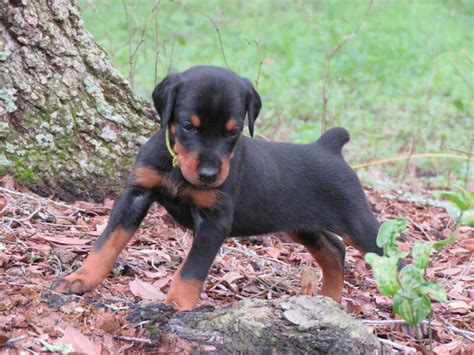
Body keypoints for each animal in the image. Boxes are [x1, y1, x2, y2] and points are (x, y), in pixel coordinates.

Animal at [51, 65, 384, 310]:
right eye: (189, 126)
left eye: (233, 131)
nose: (209, 175)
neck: (177, 169)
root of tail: (329, 147)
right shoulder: (136, 194)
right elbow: (106, 242)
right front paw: (80, 278)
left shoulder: (215, 221)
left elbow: (192, 268)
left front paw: (177, 305)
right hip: (302, 225)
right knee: (334, 249)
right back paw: (330, 300)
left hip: (359, 225)